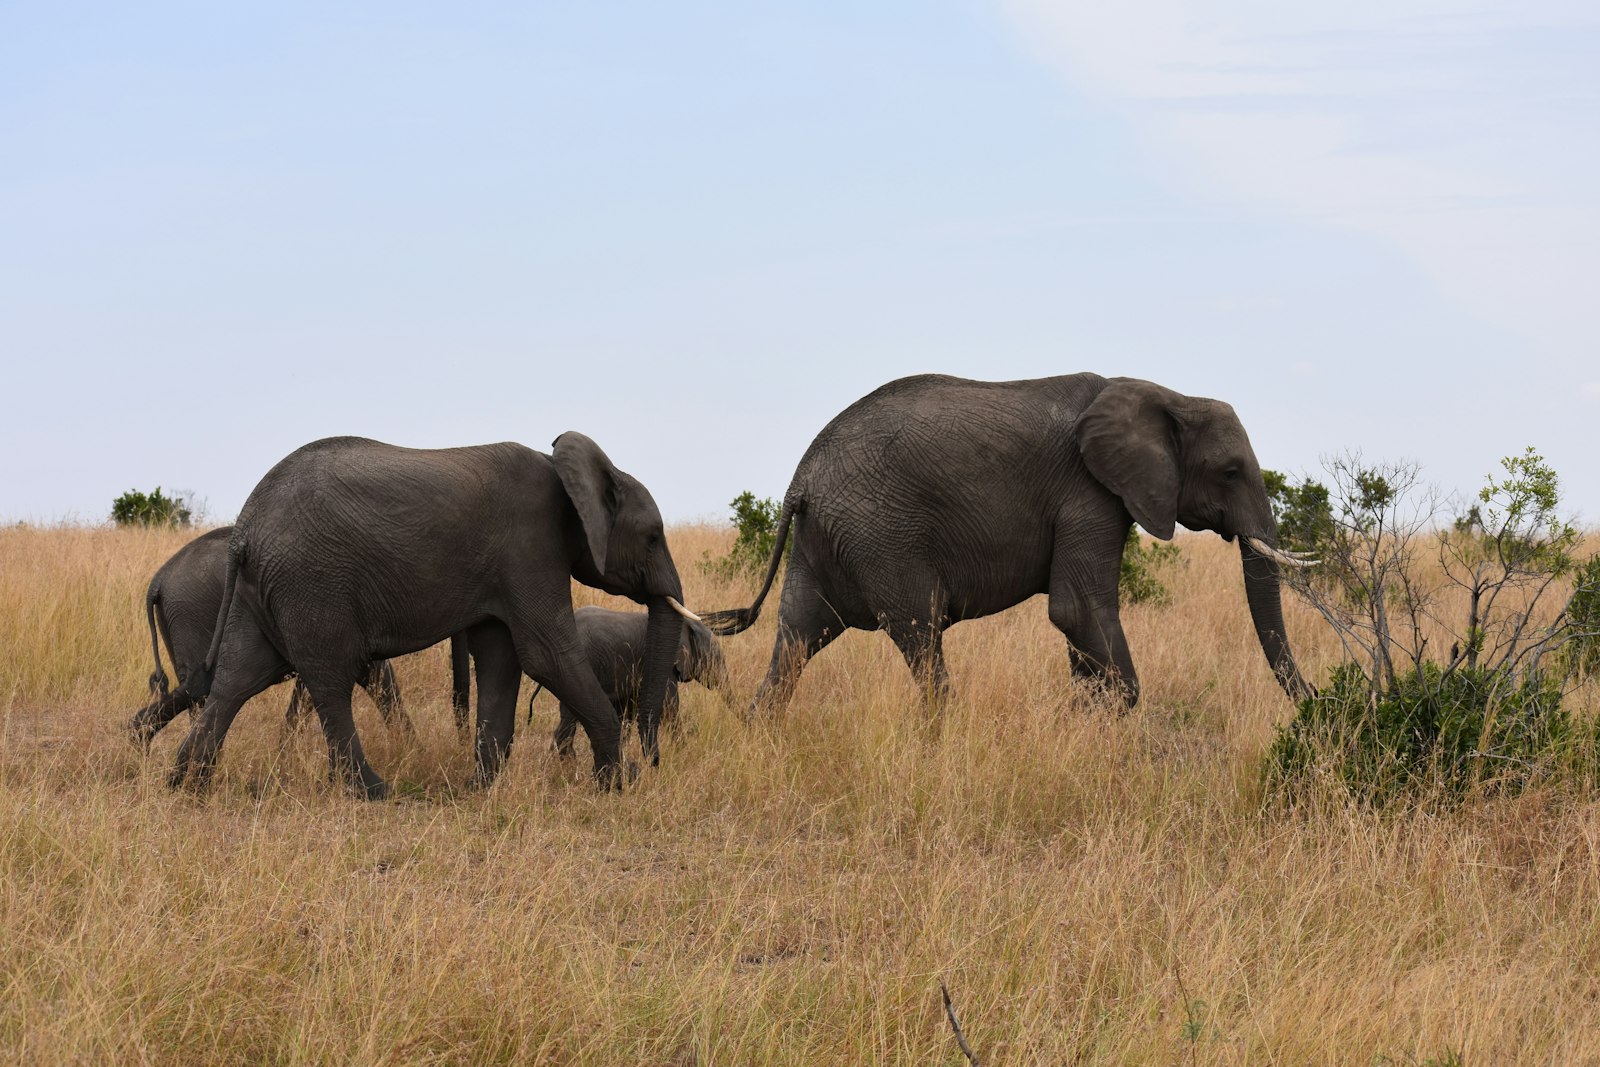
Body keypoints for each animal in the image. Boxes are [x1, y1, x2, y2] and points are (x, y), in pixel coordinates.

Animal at [162, 432, 697, 798]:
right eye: (653, 537)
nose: (653, 763)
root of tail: (245, 527)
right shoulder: (531, 547)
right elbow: (546, 654)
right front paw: (618, 782)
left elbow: (502, 659)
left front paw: (479, 788)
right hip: (311, 583)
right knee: (329, 680)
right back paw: (374, 792)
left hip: (260, 589)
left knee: (238, 679)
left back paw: (186, 784)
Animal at [702, 373, 1314, 710]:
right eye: (1230, 472)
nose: (1317, 701)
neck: (1164, 393)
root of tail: (800, 480)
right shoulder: (1088, 493)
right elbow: (1077, 609)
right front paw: (1109, 719)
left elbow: (1078, 625)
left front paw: (1086, 721)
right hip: (880, 535)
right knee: (920, 632)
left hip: (824, 540)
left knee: (797, 636)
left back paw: (760, 732)